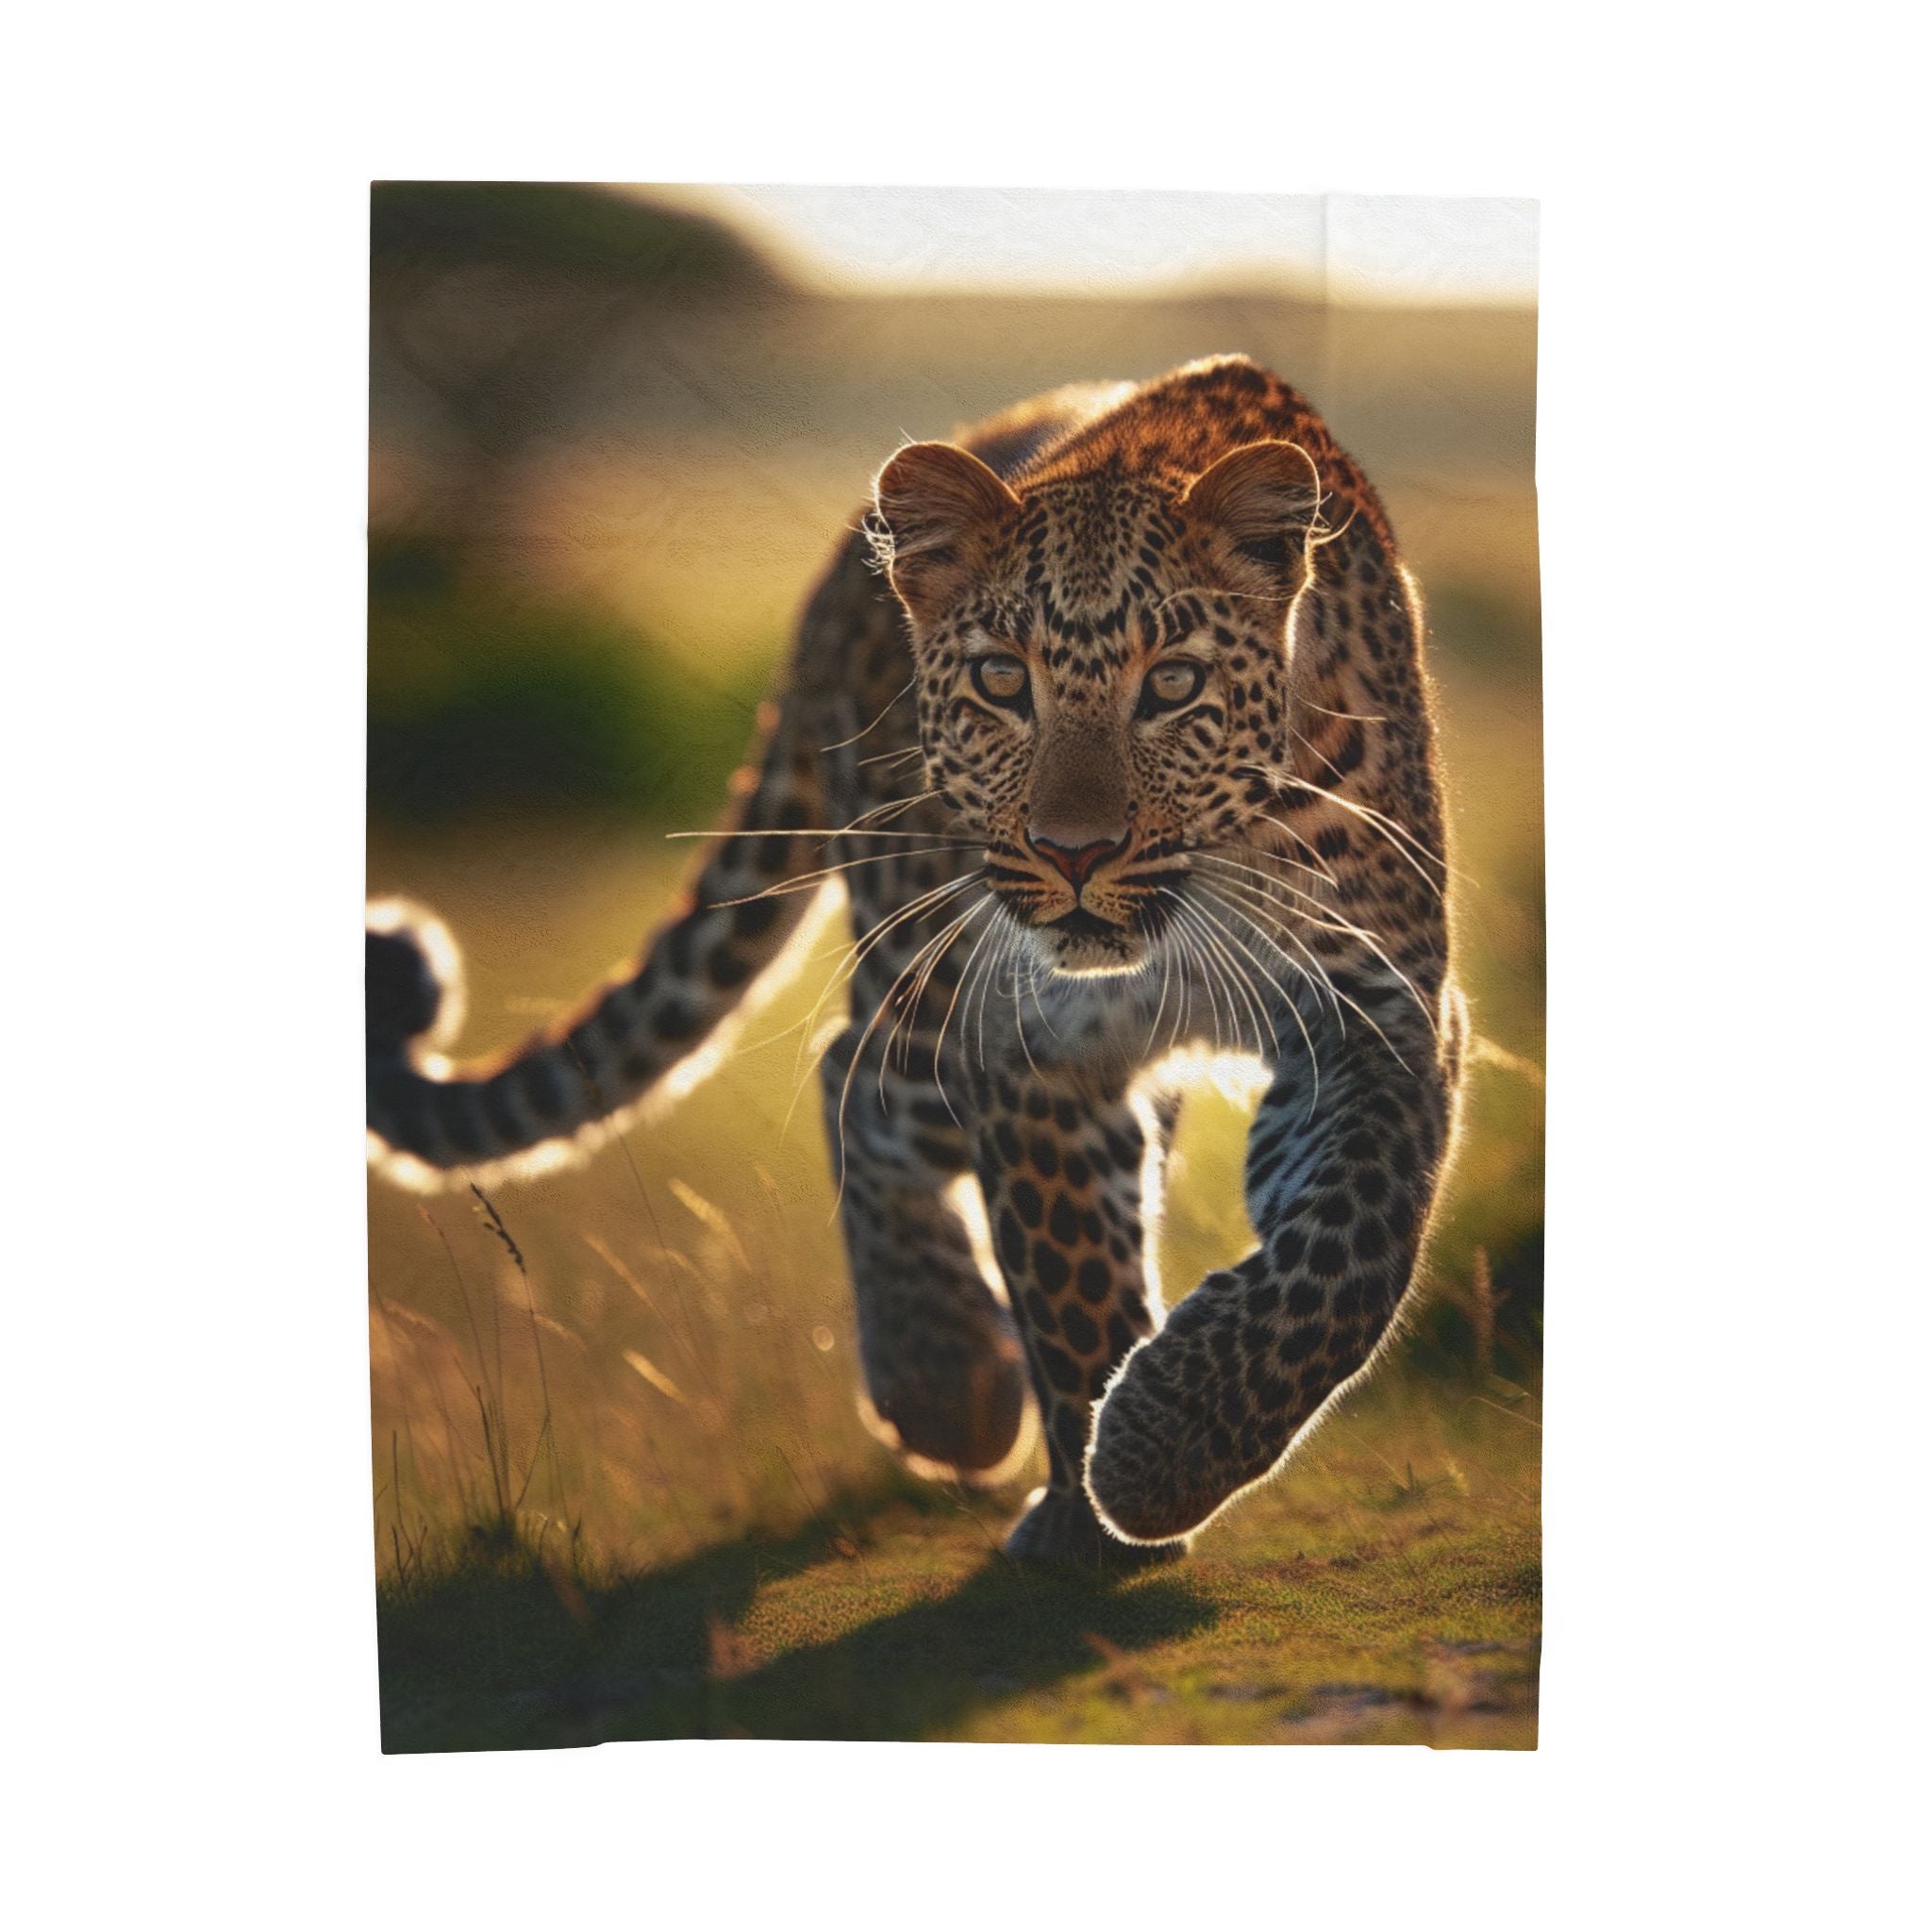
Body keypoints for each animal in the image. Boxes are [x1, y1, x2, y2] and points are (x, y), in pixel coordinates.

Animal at [367, 354, 1466, 1569]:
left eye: (1172, 684)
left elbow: (1348, 1247)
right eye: (1001, 680)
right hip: (923, 956)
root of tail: (831, 581)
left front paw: (1161, 1445)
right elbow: (1071, 1274)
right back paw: (945, 1382)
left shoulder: (1381, 1015)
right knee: (854, 1070)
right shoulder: (1028, 1043)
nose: (1073, 852)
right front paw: (1100, 1508)